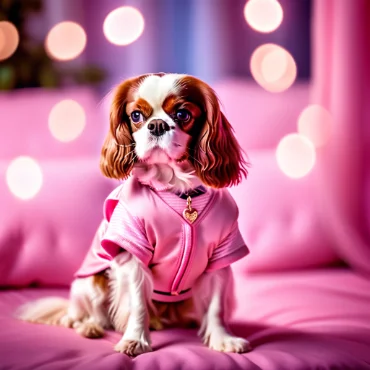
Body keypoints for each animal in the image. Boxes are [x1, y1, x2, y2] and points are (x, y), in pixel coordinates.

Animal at [17, 73, 250, 356]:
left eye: (183, 114)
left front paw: (222, 339)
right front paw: (135, 340)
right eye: (136, 115)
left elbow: (216, 307)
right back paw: (89, 327)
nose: (157, 125)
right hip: (91, 283)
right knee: (86, 315)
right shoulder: (133, 252)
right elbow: (137, 304)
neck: (179, 191)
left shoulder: (221, 255)